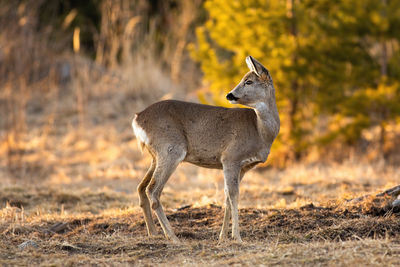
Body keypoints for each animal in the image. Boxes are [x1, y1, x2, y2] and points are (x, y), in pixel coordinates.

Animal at [133, 56, 280, 243]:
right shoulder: (230, 157)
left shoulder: (243, 167)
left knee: (141, 187)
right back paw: (173, 237)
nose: (229, 95)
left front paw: (222, 237)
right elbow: (234, 195)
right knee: (153, 190)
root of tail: (138, 118)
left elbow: (227, 196)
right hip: (171, 149)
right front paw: (237, 237)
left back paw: (153, 232)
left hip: (156, 155)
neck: (260, 131)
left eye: (248, 81)